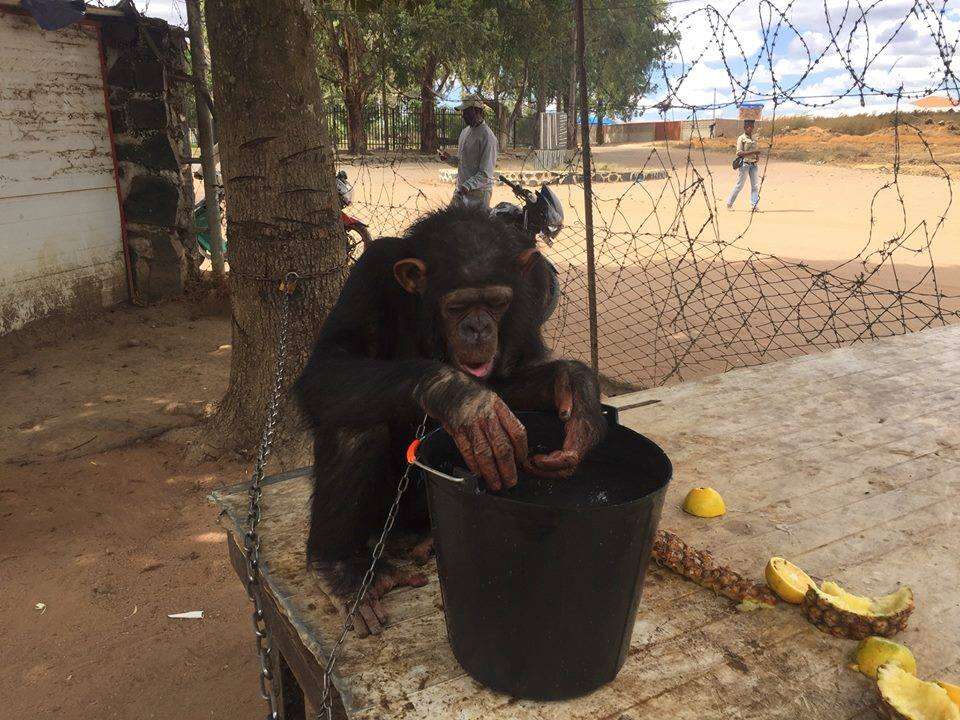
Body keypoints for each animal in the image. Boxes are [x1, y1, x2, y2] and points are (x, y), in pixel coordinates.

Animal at [296, 204, 604, 636]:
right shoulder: (369, 274)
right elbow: (328, 363)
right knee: (353, 421)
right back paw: (340, 568)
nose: (477, 328)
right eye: (457, 307)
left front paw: (574, 384)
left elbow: (519, 374)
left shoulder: (532, 291)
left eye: (496, 304)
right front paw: (461, 397)